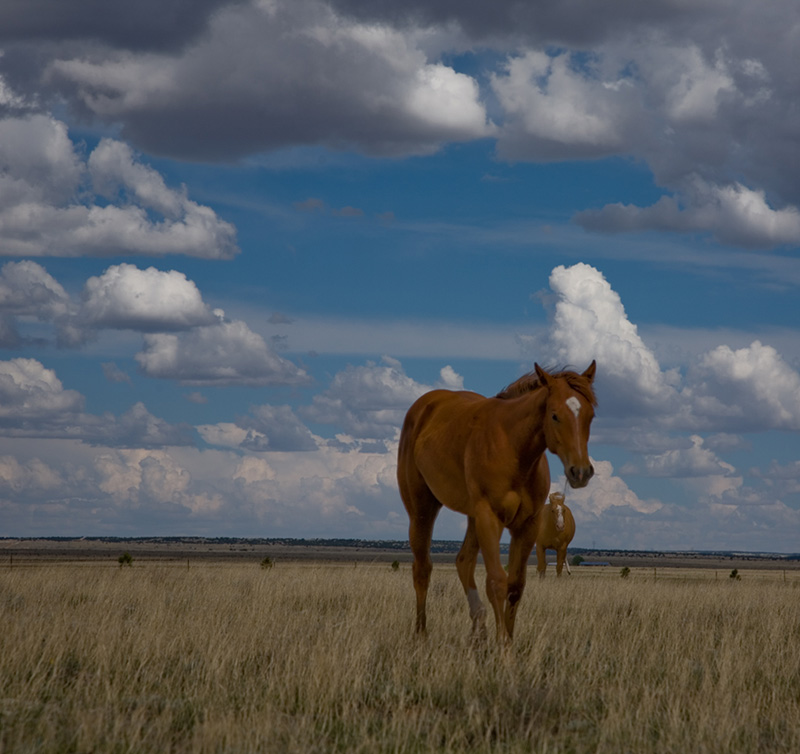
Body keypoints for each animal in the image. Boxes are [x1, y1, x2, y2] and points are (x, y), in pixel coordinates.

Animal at [396, 360, 596, 640]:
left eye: (590, 416)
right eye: (555, 415)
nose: (580, 472)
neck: (515, 450)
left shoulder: (526, 526)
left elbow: (516, 586)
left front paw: (507, 642)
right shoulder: (490, 518)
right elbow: (496, 583)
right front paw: (501, 647)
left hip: (472, 518)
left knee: (463, 562)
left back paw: (478, 628)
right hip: (422, 510)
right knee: (422, 569)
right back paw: (421, 633)